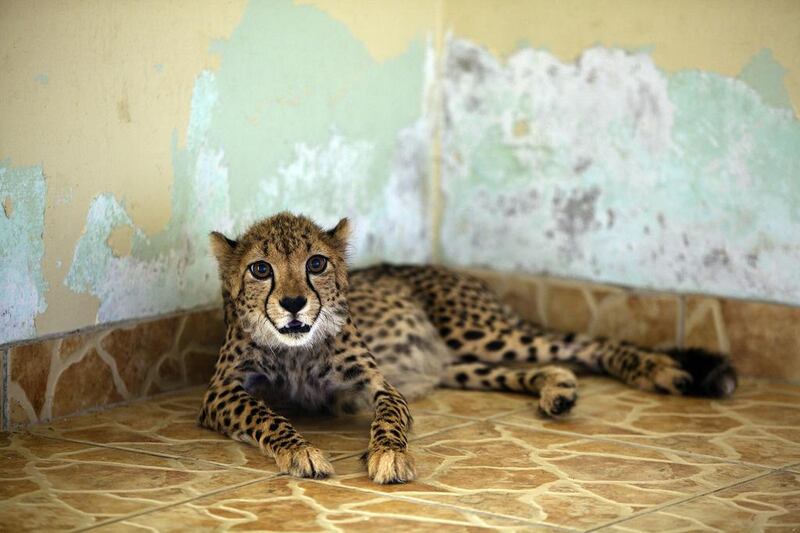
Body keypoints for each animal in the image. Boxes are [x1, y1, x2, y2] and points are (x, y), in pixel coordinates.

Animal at [198, 211, 736, 482]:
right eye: (260, 269)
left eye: (316, 263)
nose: (293, 303)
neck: (297, 348)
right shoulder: (221, 393)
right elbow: (266, 415)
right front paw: (300, 450)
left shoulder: (382, 385)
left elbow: (389, 419)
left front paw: (389, 456)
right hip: (459, 363)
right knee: (542, 365)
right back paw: (557, 390)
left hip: (480, 332)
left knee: (585, 343)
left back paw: (659, 370)